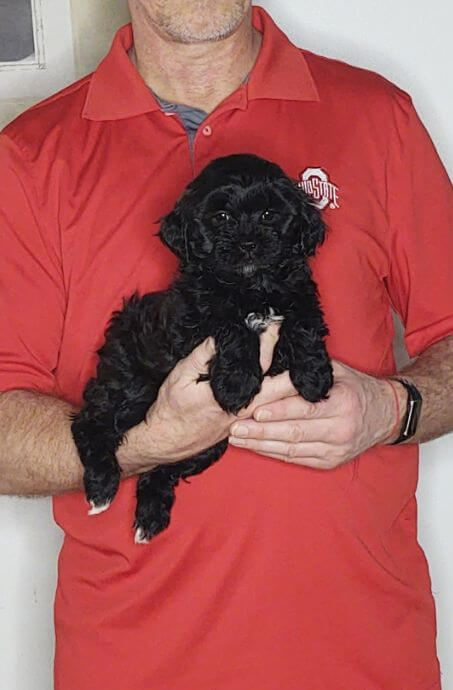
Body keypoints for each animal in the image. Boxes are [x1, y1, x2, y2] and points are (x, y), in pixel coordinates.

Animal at [71, 153, 332, 540]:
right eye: (221, 217)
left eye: (269, 214)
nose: (248, 244)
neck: (251, 286)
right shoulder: (199, 314)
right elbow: (233, 328)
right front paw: (237, 383)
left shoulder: (298, 292)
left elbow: (304, 321)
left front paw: (314, 375)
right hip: (130, 387)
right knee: (89, 423)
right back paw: (102, 487)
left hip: (208, 445)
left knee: (163, 467)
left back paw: (150, 516)